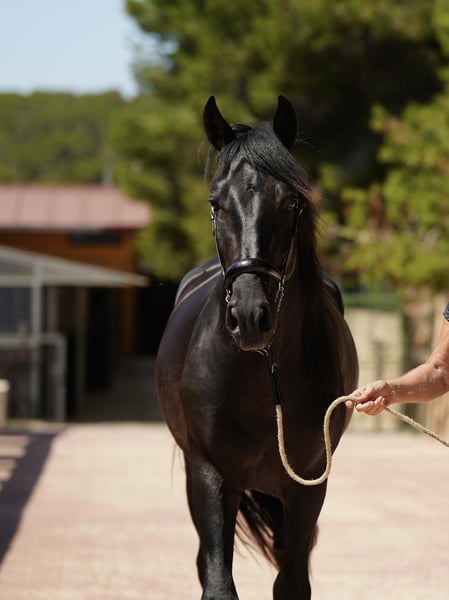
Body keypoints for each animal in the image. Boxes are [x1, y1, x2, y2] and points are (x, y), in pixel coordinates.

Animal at [156, 95, 359, 599]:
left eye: (292, 201)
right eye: (215, 202)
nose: (250, 317)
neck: (264, 379)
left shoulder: (307, 485)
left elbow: (292, 582)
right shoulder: (210, 477)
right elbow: (217, 581)